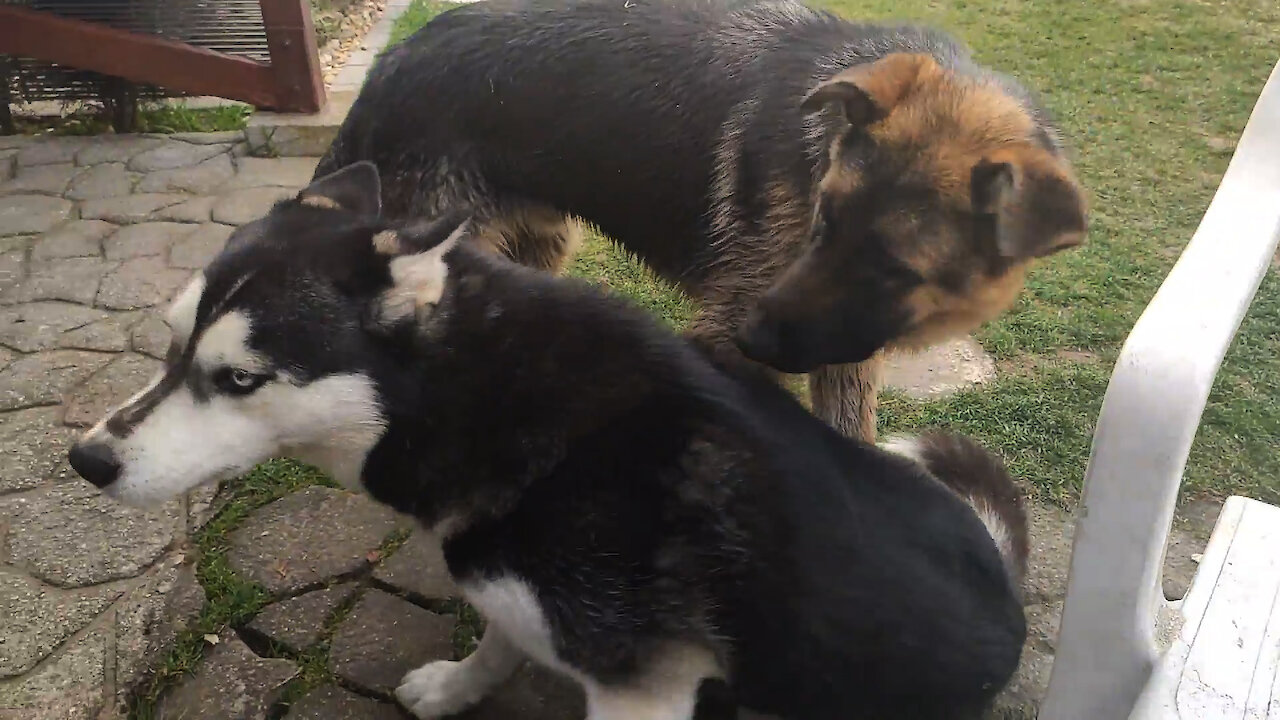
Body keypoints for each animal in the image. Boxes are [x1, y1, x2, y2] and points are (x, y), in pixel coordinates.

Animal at [67, 162, 1029, 717]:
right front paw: (457, 687)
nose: (87, 459)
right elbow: (500, 636)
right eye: (170, 343)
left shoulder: (646, 688)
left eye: (239, 380)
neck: (496, 404)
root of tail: (1010, 593)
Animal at [314, 0, 1085, 440]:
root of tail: (393, 62)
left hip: (539, 250)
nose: (749, 338)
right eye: (822, 220)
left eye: (894, 269)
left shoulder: (846, 354)